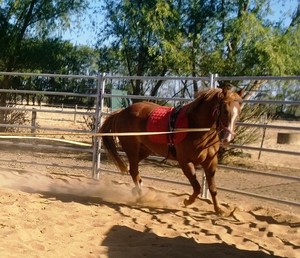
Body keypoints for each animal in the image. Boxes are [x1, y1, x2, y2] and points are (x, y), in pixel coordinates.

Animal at [99, 86, 244, 214]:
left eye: (238, 112)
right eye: (224, 110)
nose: (227, 138)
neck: (196, 127)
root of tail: (121, 112)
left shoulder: (210, 162)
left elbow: (213, 188)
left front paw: (219, 210)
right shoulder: (185, 162)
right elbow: (197, 187)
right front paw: (187, 201)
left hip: (145, 150)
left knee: (134, 170)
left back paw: (138, 190)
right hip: (132, 149)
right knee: (134, 170)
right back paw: (140, 195)